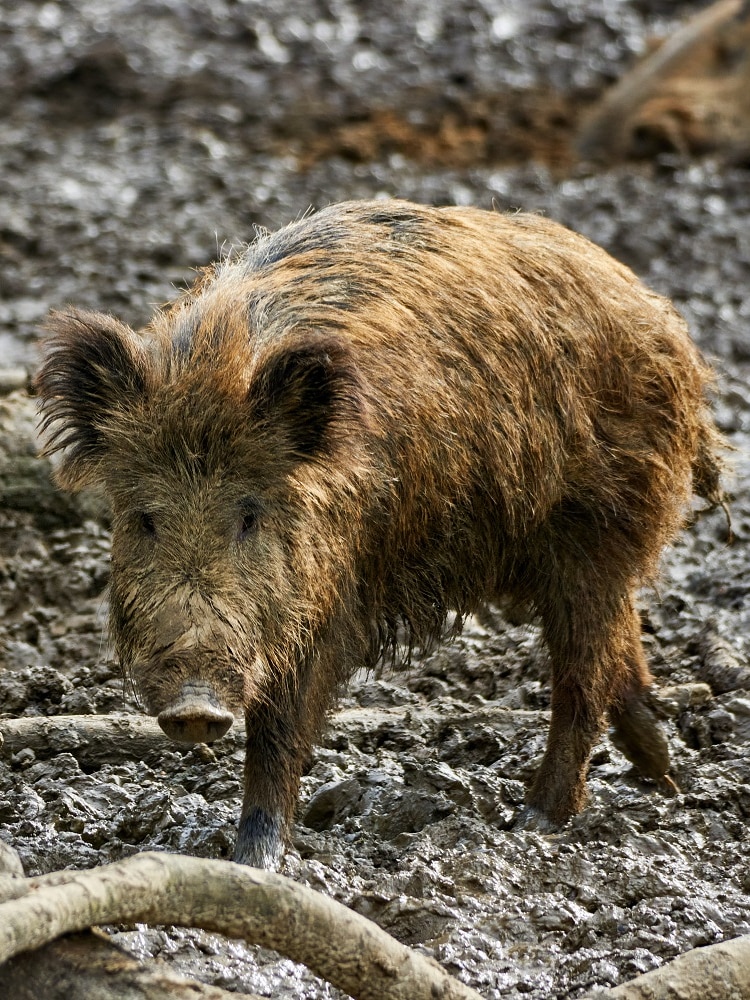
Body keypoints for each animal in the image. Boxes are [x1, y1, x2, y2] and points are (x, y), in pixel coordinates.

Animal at [34, 199, 727, 868]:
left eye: (250, 514)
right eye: (145, 518)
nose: (194, 709)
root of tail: (661, 318)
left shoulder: (332, 590)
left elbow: (283, 723)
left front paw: (255, 861)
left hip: (595, 524)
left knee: (583, 671)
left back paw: (536, 821)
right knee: (619, 642)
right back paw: (660, 770)